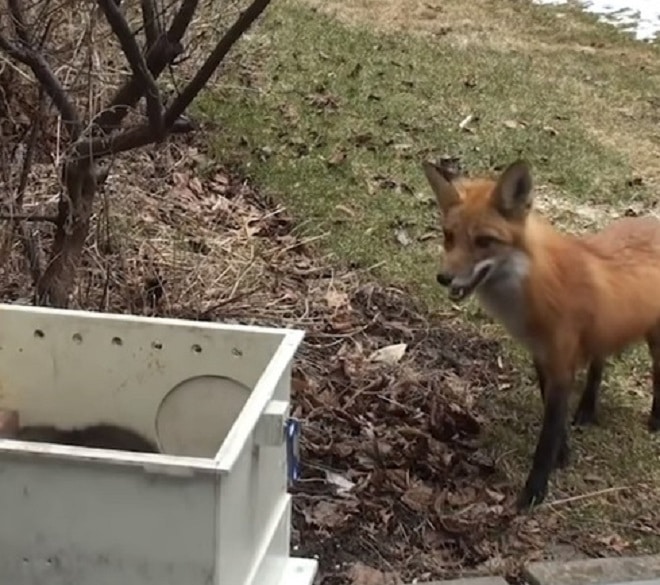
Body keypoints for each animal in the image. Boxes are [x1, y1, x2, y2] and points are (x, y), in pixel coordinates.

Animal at [422, 157, 660, 508]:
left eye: (484, 241)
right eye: (448, 236)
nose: (443, 278)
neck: (536, 286)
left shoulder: (561, 364)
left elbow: (546, 437)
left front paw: (534, 492)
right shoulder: (542, 356)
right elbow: (554, 419)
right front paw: (564, 454)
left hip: (655, 340)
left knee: (656, 376)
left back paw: (655, 419)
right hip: (602, 330)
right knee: (599, 364)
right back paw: (587, 409)